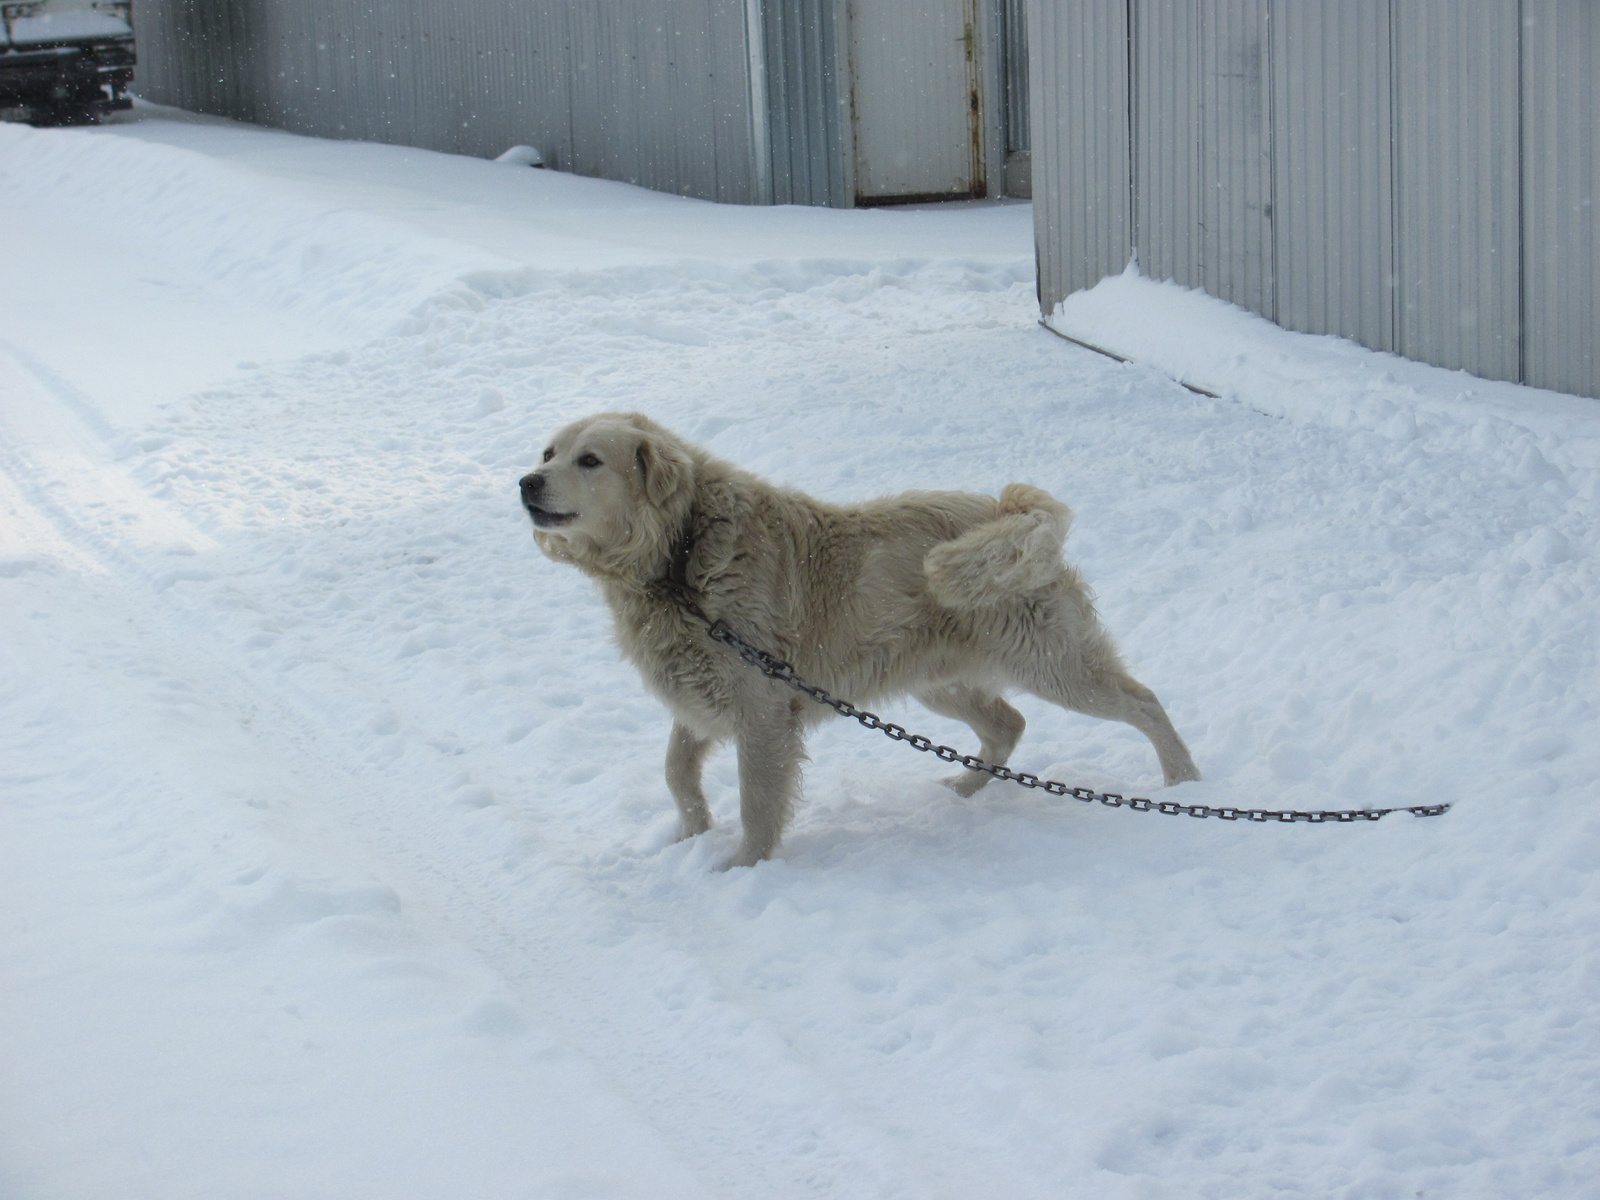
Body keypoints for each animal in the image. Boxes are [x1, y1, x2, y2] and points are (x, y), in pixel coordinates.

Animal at [524, 412, 1203, 864]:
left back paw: (1186, 783)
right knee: (1009, 725)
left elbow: (756, 802)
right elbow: (675, 773)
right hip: (940, 681)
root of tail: (1012, 510)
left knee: (1143, 702)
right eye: (548, 452)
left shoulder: (761, 708)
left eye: (590, 460)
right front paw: (690, 836)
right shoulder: (702, 693)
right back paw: (963, 790)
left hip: (1053, 664)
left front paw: (742, 868)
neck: (681, 553)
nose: (527, 482)